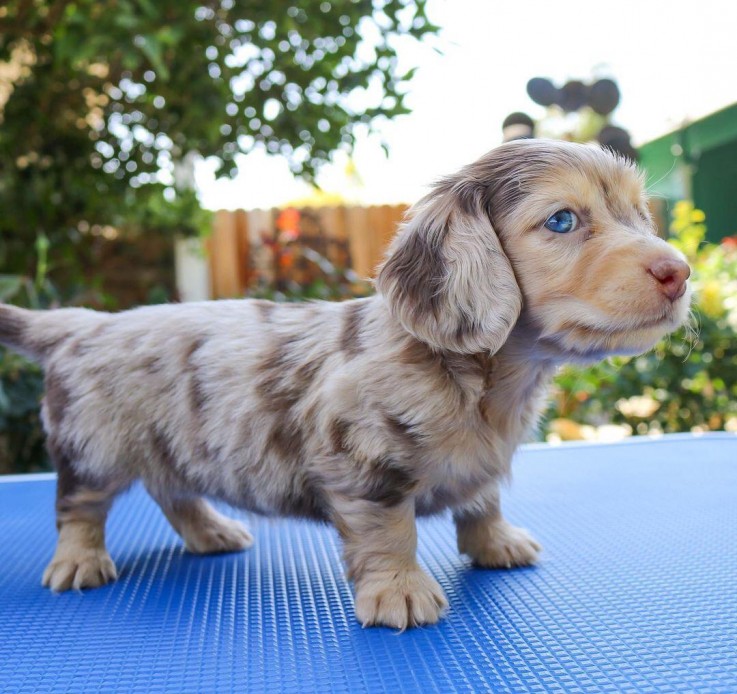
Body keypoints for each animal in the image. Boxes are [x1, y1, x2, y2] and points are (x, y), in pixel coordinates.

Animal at [0, 140, 688, 632]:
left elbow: (482, 500)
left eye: (638, 214)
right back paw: (79, 561)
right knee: (78, 507)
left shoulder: (481, 466)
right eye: (563, 220)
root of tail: (83, 325)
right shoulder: (365, 465)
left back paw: (212, 533)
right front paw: (400, 592)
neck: (488, 380)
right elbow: (389, 532)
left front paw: (497, 544)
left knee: (173, 493)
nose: (679, 272)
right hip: (91, 448)